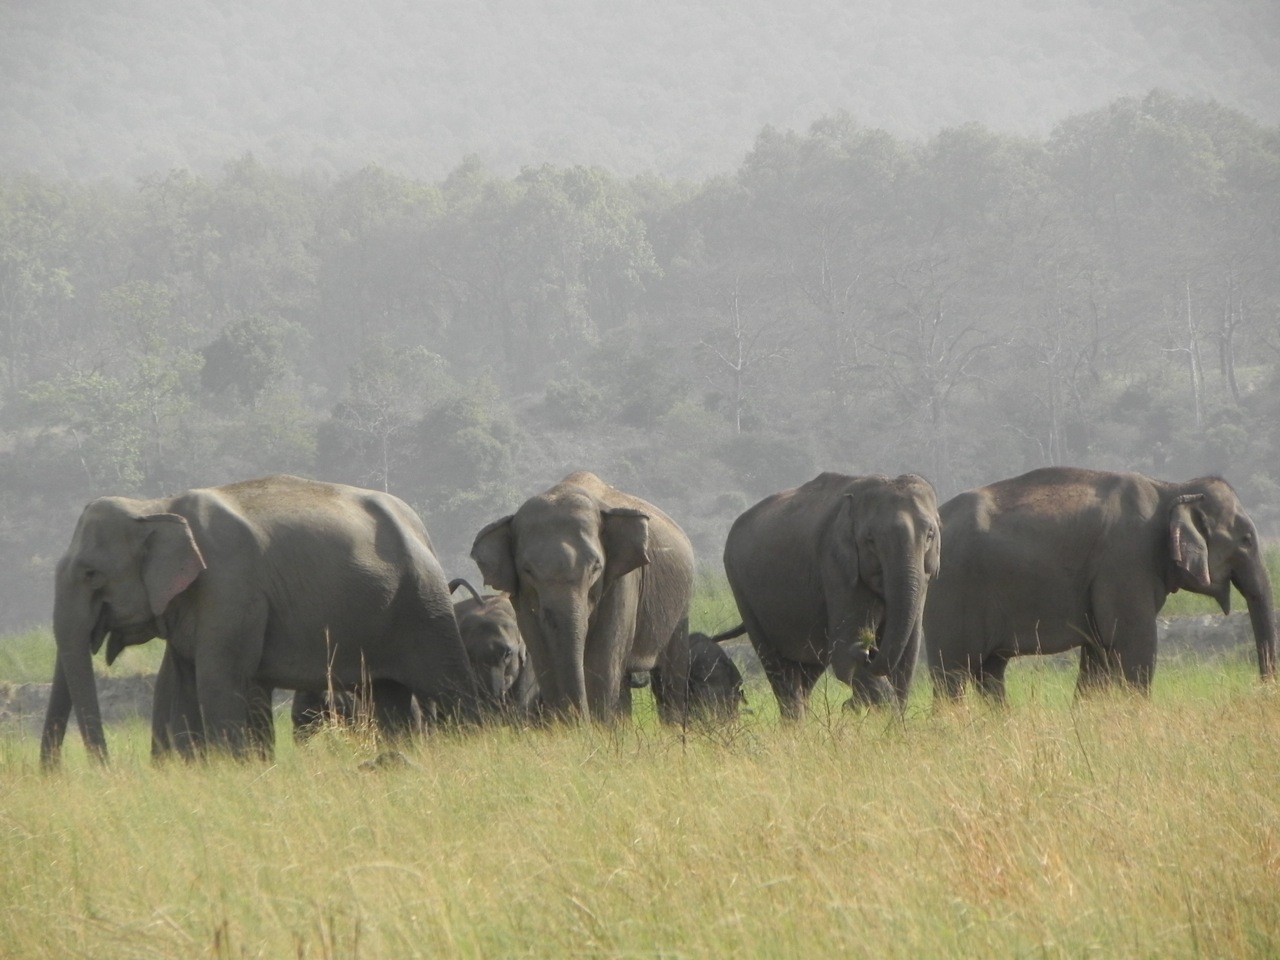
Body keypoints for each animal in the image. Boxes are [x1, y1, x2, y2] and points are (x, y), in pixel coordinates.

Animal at [40, 474, 481, 766]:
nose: (103, 769)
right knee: (391, 699)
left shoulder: (231, 589)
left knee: (447, 686)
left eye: (90, 574)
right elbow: (178, 683)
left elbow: (218, 680)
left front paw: (232, 769)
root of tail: (420, 527)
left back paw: (474, 744)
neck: (154, 507)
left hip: (423, 606)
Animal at [471, 471, 695, 724]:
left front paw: (597, 727)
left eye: (596, 567)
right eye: (527, 570)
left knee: (669, 677)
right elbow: (543, 654)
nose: (577, 719)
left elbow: (602, 659)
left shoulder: (623, 581)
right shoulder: (521, 597)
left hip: (681, 607)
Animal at [722, 472, 942, 718]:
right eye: (870, 540)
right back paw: (796, 725)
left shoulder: (924, 579)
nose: (869, 650)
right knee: (778, 667)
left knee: (807, 671)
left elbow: (906, 657)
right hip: (742, 591)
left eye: (930, 535)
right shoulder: (837, 565)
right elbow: (844, 653)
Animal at [923, 467, 1276, 700]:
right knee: (951, 674)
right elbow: (1134, 643)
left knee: (990, 671)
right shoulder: (1126, 560)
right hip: (950, 592)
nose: (1262, 688)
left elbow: (1098, 652)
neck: (1173, 488)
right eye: (1246, 540)